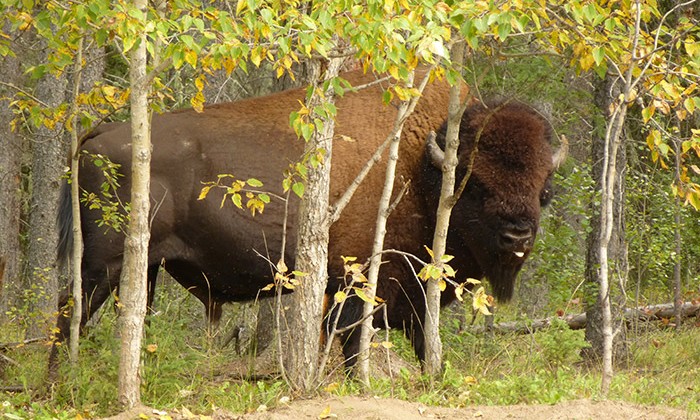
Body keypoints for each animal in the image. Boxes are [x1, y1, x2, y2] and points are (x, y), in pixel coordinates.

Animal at [53, 68, 564, 368]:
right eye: (476, 185)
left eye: (543, 189)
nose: (518, 235)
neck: (419, 163)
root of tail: (96, 135)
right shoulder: (358, 285)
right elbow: (354, 345)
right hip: (101, 265)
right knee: (69, 313)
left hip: (145, 267)